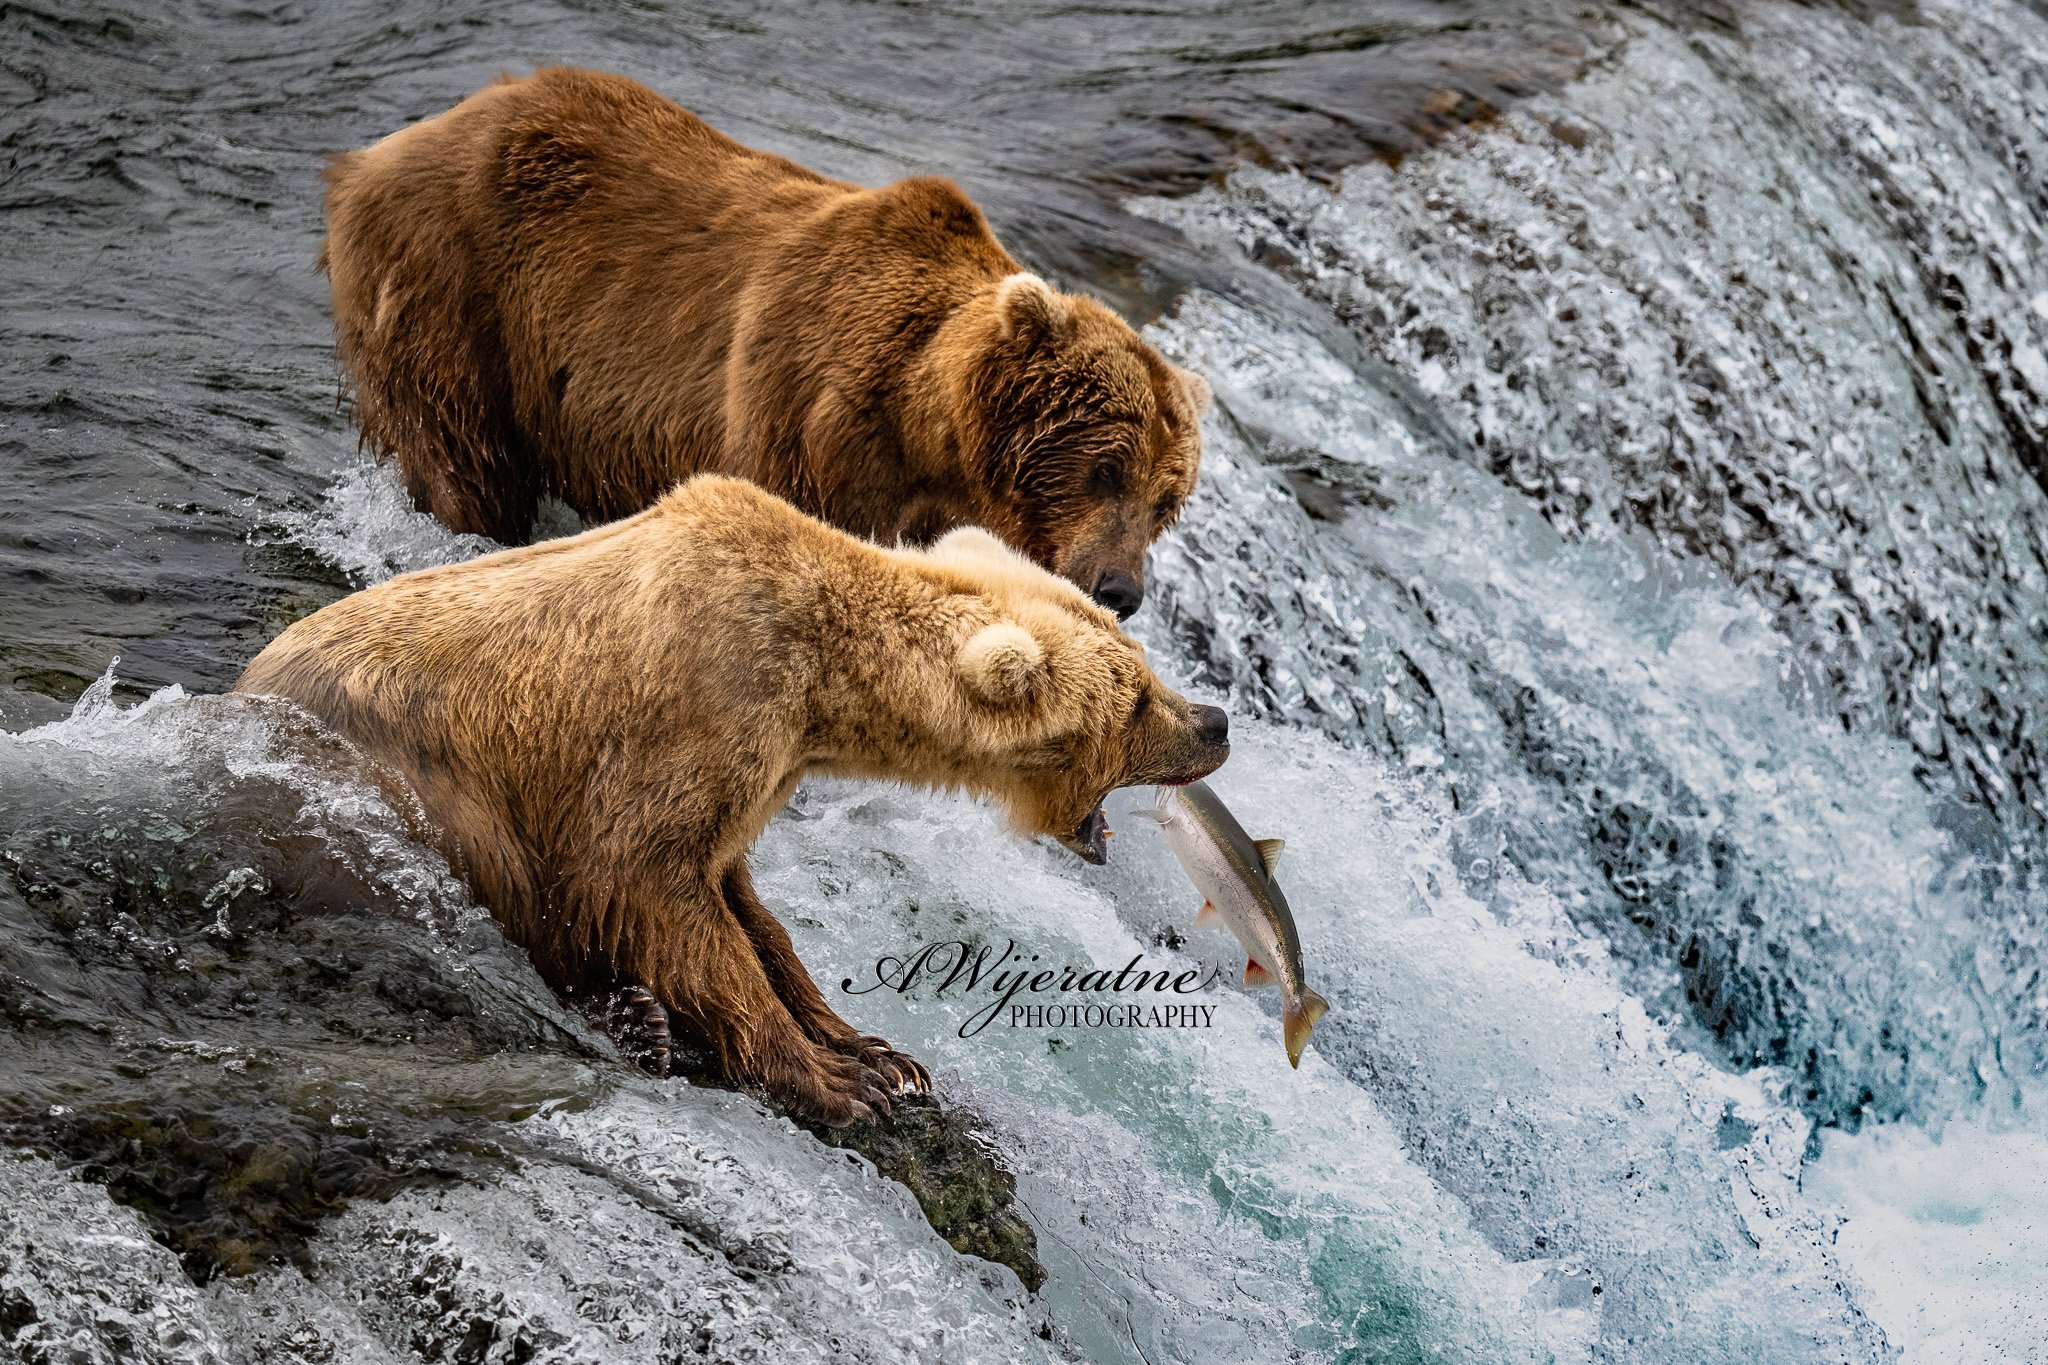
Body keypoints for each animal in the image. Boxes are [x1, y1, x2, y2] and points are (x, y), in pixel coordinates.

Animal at [235, 475, 1231, 1124]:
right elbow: (649, 883)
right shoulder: (699, 709)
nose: (1216, 721)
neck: (825, 680)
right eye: (1136, 699)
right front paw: (841, 1081)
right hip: (408, 783)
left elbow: (747, 905)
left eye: (1145, 668)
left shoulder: (762, 763)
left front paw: (877, 1048)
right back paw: (629, 1018)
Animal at [319, 66, 1211, 619]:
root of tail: (374, 153)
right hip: (453, 291)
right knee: (463, 461)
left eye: (1165, 502)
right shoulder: (809, 421)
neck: (926, 431)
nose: (1120, 588)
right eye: (1106, 468)